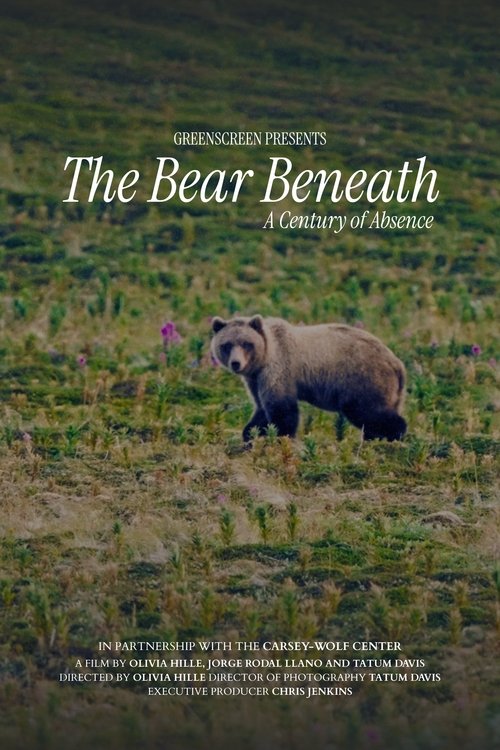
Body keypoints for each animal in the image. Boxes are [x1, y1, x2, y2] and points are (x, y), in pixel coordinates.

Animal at [211, 315, 407, 443]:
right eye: (226, 345)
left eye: (246, 343)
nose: (236, 363)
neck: (264, 358)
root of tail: (397, 364)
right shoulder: (255, 379)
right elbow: (261, 408)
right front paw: (250, 432)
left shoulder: (279, 369)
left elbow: (282, 409)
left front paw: (281, 436)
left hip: (363, 378)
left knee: (367, 410)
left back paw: (393, 434)